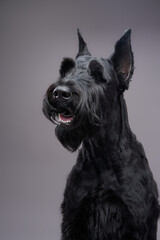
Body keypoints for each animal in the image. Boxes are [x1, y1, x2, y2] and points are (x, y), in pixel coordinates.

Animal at [42, 30, 159, 240]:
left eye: (98, 75)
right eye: (65, 70)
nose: (60, 92)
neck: (102, 154)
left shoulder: (138, 223)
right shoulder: (73, 220)